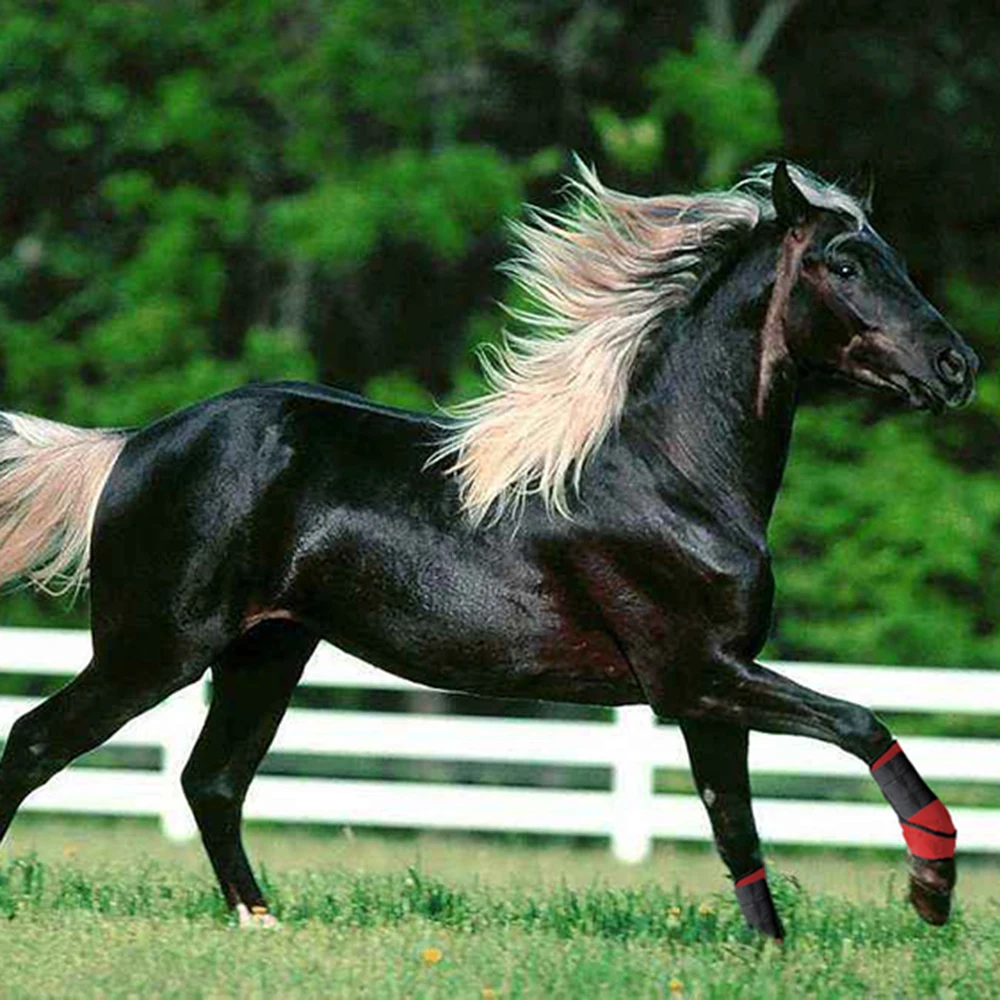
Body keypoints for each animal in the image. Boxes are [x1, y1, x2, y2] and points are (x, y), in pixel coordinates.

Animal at [0, 162, 977, 939]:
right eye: (843, 264)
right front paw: (931, 888)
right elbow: (859, 721)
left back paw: (261, 922)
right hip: (155, 649)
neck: (673, 475)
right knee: (37, 739)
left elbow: (733, 825)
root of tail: (131, 445)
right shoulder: (695, 673)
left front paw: (772, 951)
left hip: (265, 652)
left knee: (212, 782)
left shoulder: (711, 687)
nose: (958, 366)